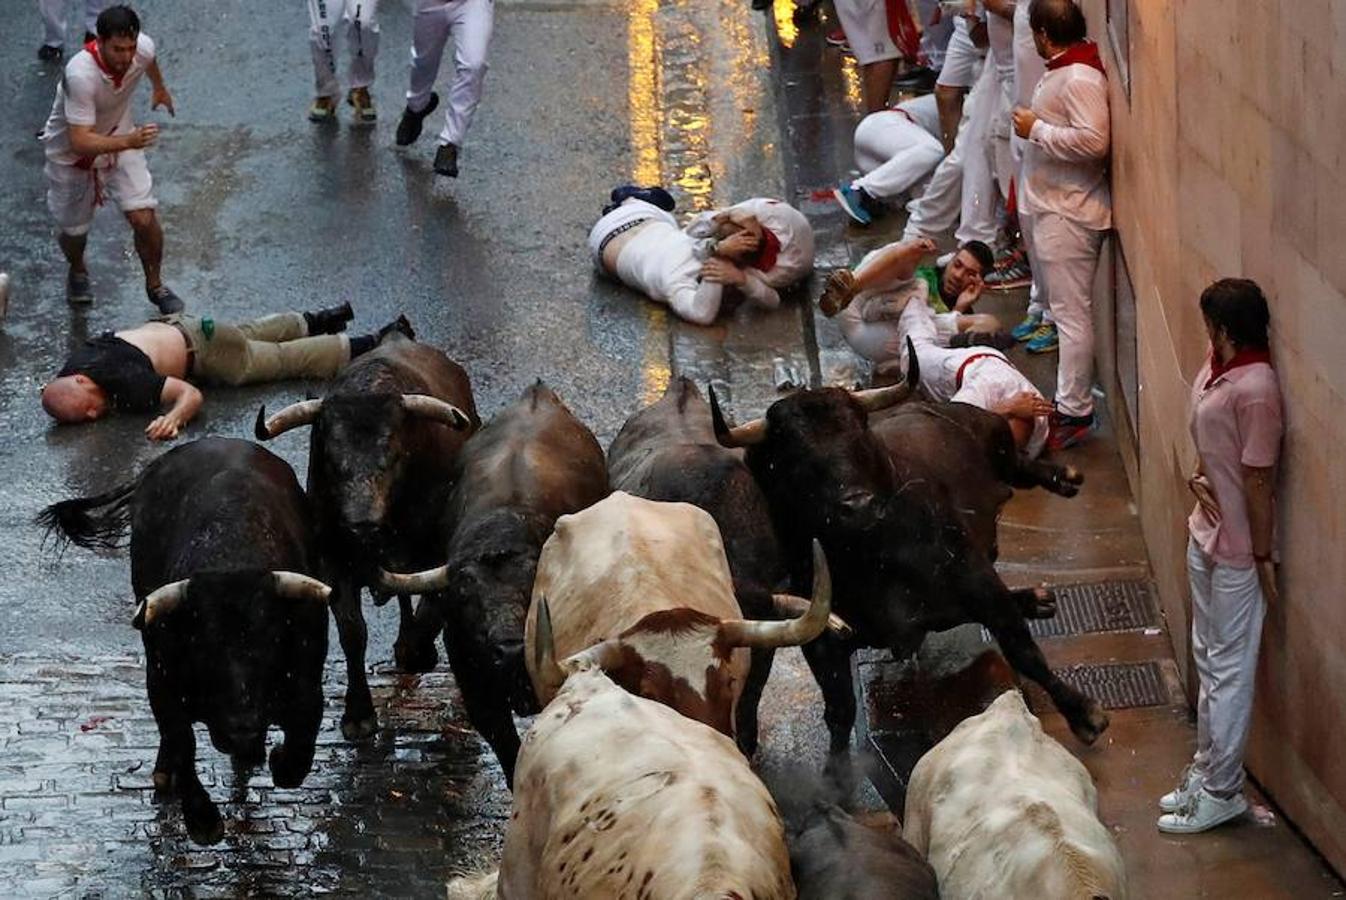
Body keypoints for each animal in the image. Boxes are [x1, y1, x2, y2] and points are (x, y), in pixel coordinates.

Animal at [36, 435, 331, 844]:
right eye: (205, 648)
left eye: (270, 640)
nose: (242, 727)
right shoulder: (161, 682)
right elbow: (181, 740)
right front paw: (203, 821)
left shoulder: (309, 679)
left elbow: (300, 748)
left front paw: (274, 758)